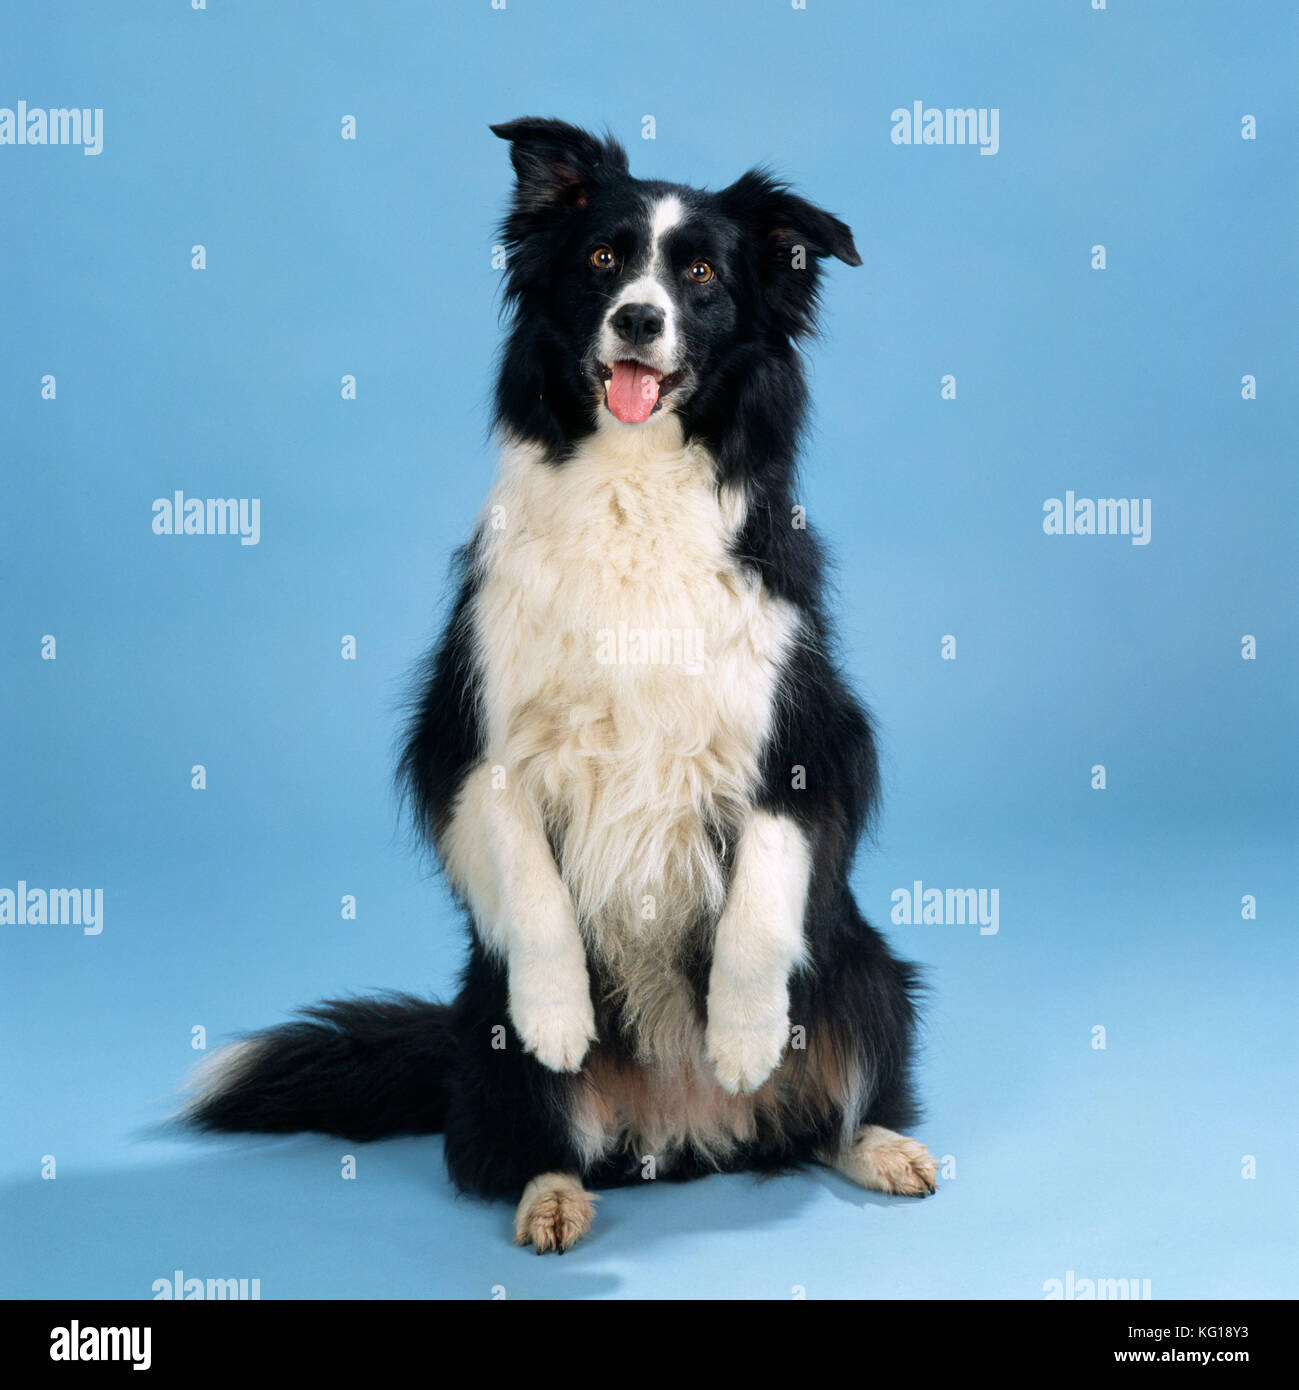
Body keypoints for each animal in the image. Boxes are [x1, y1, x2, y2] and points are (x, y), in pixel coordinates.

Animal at [184, 116, 933, 1251]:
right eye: (601, 259)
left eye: (702, 275)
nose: (638, 319)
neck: (633, 481)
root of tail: (690, 1135)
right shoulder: (473, 739)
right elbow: (532, 891)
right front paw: (556, 1016)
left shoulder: (806, 736)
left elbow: (762, 893)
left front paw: (744, 1032)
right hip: (479, 1038)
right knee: (507, 1147)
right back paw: (550, 1198)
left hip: (867, 971)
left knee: (832, 1103)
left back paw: (879, 1144)